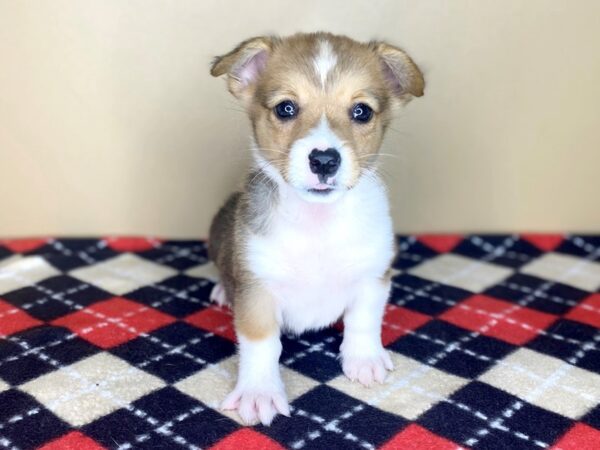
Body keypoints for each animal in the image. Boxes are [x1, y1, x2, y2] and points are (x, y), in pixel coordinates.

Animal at [209, 31, 424, 426]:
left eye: (361, 111)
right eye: (286, 108)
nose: (324, 160)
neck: (317, 225)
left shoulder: (373, 275)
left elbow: (364, 320)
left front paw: (364, 360)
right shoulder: (257, 292)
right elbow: (261, 343)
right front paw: (259, 392)